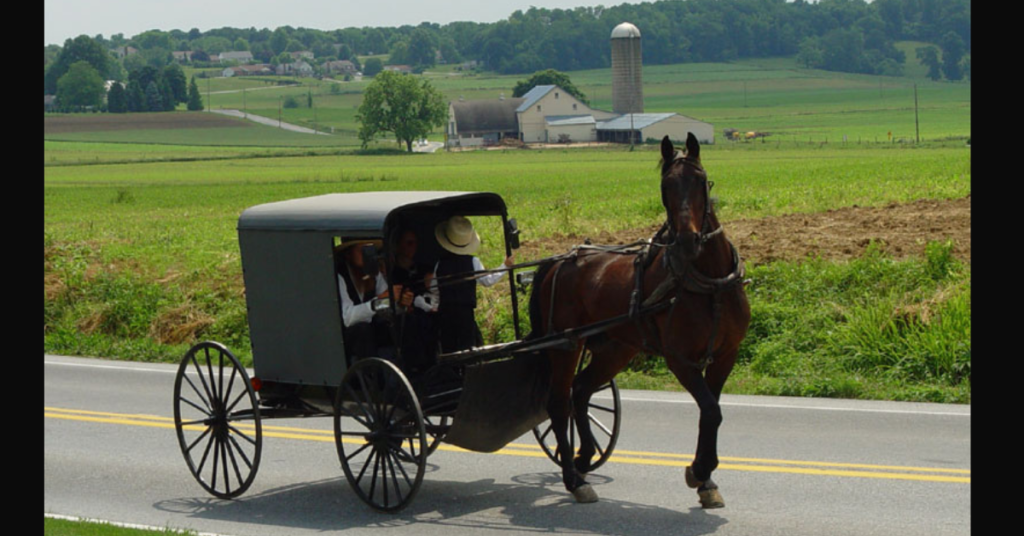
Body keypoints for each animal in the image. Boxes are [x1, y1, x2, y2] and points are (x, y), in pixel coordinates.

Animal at [528, 133, 750, 508]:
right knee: (559, 403)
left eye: (701, 180)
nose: (687, 240)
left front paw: (705, 480)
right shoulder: (680, 360)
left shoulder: (725, 355)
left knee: (580, 390)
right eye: (665, 186)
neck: (708, 283)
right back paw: (574, 479)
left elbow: (712, 411)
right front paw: (700, 471)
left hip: (615, 348)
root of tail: (560, 260)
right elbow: (710, 409)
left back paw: (584, 457)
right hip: (565, 344)